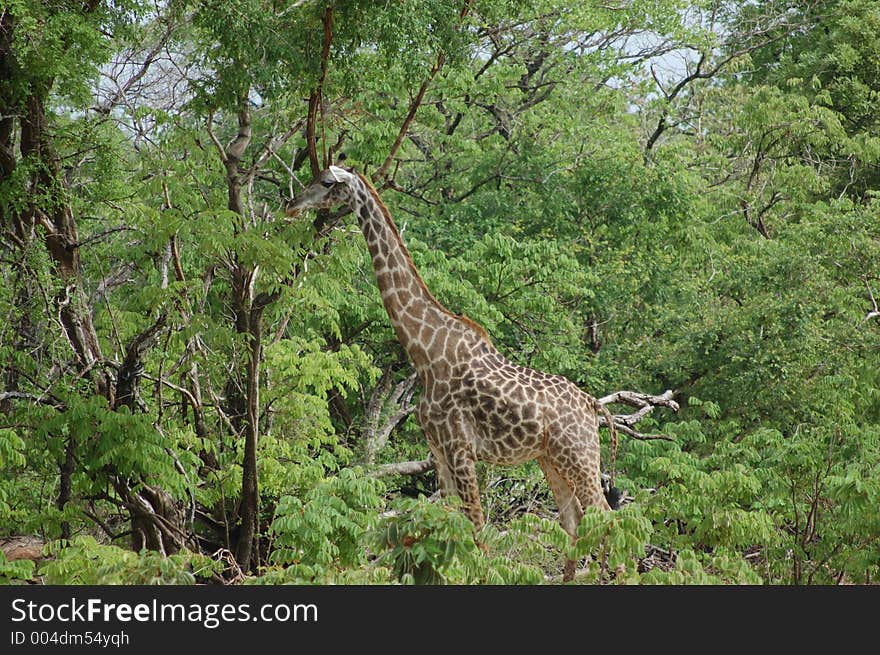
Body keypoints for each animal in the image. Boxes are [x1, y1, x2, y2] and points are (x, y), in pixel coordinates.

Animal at [286, 167, 616, 580]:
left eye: (327, 183)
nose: (291, 204)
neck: (425, 353)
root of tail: (592, 405)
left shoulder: (460, 448)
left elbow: (477, 529)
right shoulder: (438, 450)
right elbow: (444, 524)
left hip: (580, 455)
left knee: (608, 517)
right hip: (550, 459)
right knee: (574, 519)